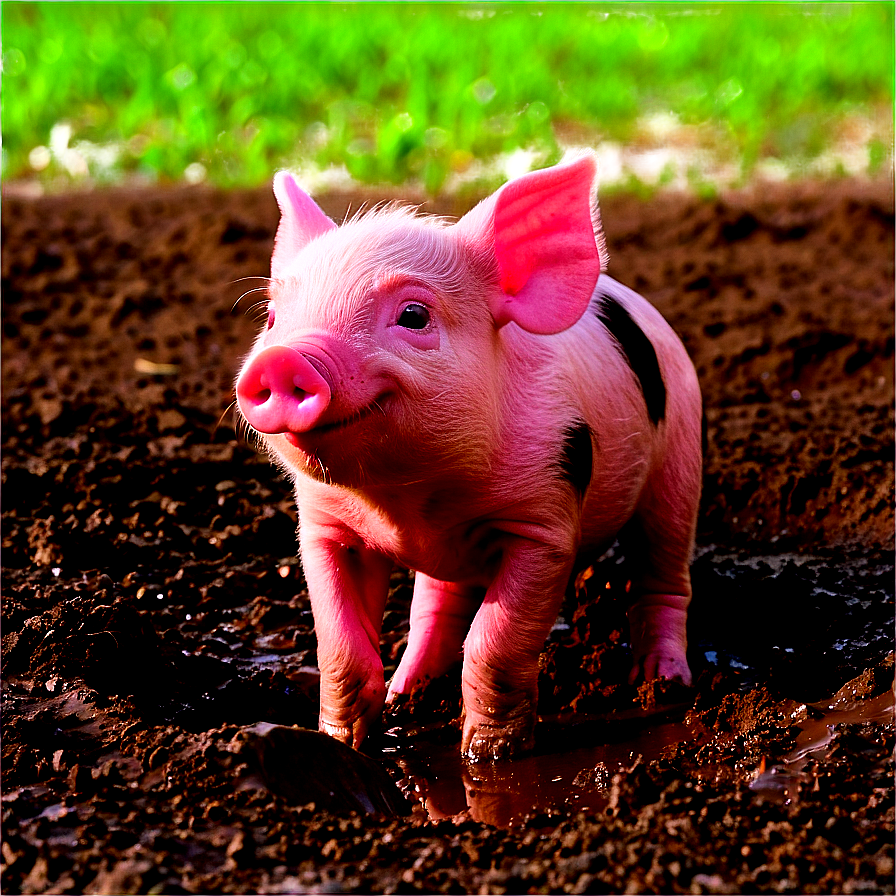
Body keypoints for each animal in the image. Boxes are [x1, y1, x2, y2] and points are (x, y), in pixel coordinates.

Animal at [235, 152, 702, 762]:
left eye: (414, 316)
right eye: (271, 318)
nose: (283, 359)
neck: (410, 501)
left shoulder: (542, 526)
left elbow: (495, 642)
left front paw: (489, 756)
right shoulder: (324, 526)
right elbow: (340, 647)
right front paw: (345, 742)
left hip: (682, 452)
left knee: (664, 571)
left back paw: (662, 684)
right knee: (438, 600)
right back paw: (407, 693)